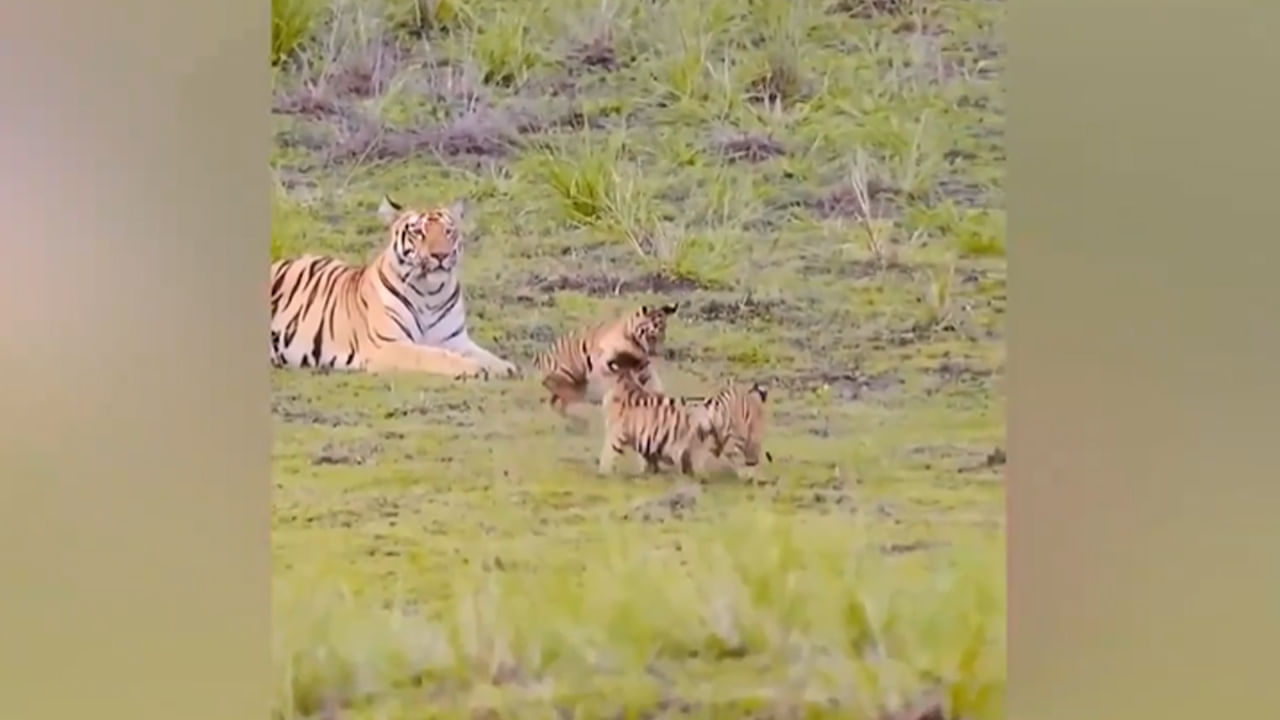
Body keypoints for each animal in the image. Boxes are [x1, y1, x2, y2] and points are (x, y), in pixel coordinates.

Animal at [269, 195, 518, 380]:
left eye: (448, 231)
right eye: (418, 232)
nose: (441, 255)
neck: (431, 294)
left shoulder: (455, 340)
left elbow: (484, 354)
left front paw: (505, 366)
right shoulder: (388, 344)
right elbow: (432, 355)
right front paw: (473, 368)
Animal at [532, 302, 678, 425]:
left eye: (664, 331)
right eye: (653, 334)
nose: (659, 352)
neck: (636, 344)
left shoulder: (641, 364)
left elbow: (652, 383)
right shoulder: (606, 361)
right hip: (569, 378)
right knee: (561, 396)